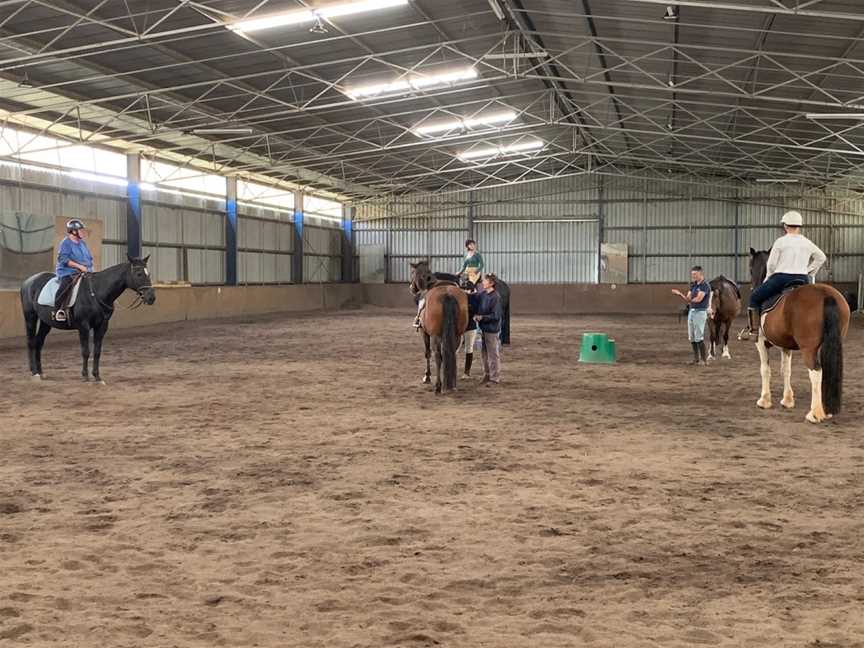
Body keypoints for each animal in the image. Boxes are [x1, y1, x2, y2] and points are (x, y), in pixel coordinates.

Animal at [20, 256, 157, 382]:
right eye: (139, 274)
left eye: (148, 274)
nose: (151, 297)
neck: (96, 292)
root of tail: (28, 281)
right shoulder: (83, 326)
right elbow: (86, 351)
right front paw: (85, 376)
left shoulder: (101, 326)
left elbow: (97, 351)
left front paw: (97, 376)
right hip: (30, 317)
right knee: (31, 342)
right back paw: (34, 372)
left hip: (46, 322)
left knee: (39, 342)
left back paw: (41, 372)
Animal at [408, 260, 470, 392]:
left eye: (412, 272)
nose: (411, 288)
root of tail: (447, 295)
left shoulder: (424, 333)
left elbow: (427, 353)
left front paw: (427, 377)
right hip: (456, 335)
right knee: (452, 353)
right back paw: (452, 383)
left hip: (435, 336)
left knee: (438, 356)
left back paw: (438, 385)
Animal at [744, 246, 848, 422]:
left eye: (751, 267)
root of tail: (825, 294)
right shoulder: (785, 346)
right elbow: (786, 370)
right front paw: (787, 400)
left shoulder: (760, 342)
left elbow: (765, 369)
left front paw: (764, 400)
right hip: (833, 343)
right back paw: (826, 410)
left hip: (808, 349)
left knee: (816, 372)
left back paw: (815, 414)